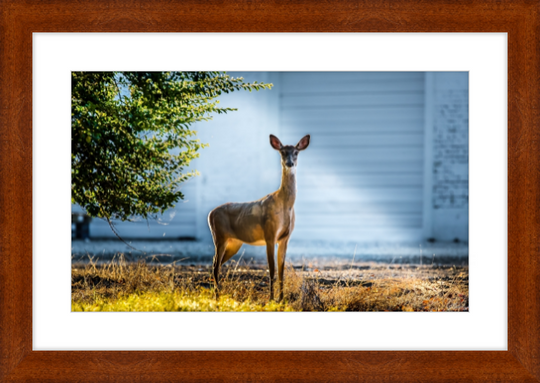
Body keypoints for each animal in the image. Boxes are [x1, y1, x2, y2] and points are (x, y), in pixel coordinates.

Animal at [207, 135, 310, 304]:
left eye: (296, 152)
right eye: (282, 152)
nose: (289, 163)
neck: (285, 205)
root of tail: (210, 214)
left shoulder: (284, 238)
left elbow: (281, 271)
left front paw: (282, 299)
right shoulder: (270, 234)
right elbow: (272, 269)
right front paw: (271, 299)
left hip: (234, 243)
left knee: (216, 263)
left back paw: (217, 295)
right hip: (219, 236)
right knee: (215, 265)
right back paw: (217, 298)